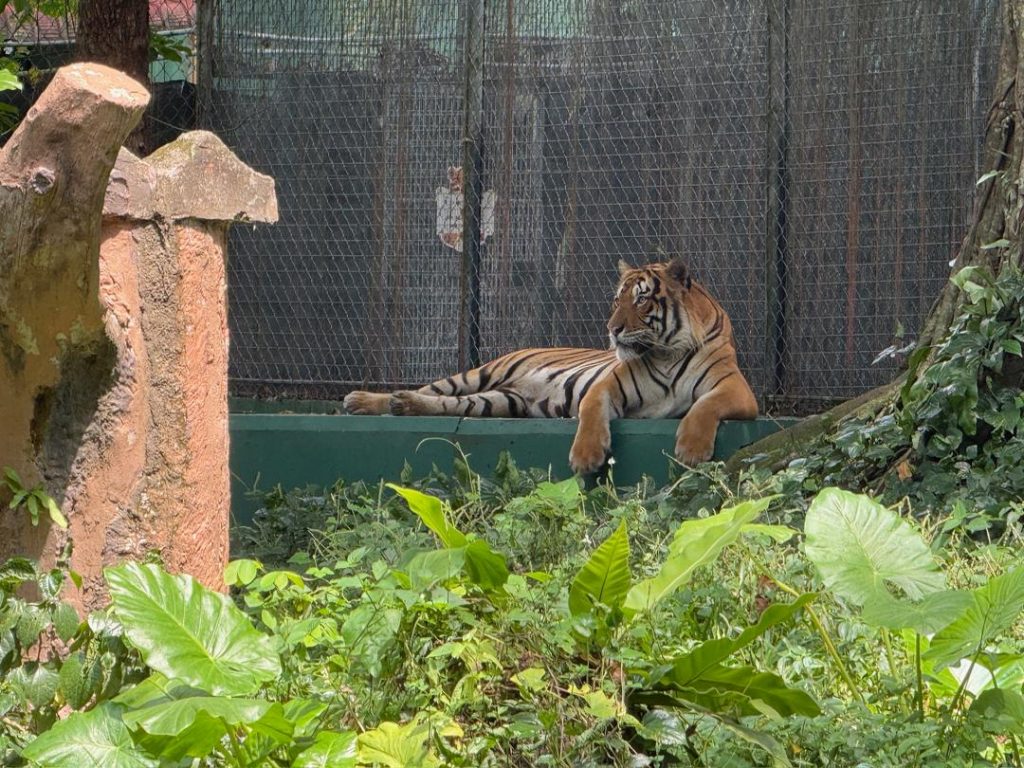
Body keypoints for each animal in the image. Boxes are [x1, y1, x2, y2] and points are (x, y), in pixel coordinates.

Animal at [343, 258, 758, 474]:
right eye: (616, 300)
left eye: (641, 300)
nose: (612, 329)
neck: (667, 349)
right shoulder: (608, 386)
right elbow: (591, 410)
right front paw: (586, 456)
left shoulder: (737, 390)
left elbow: (705, 406)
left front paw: (691, 450)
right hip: (480, 374)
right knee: (432, 389)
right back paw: (364, 401)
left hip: (497, 401)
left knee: (445, 405)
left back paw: (401, 404)